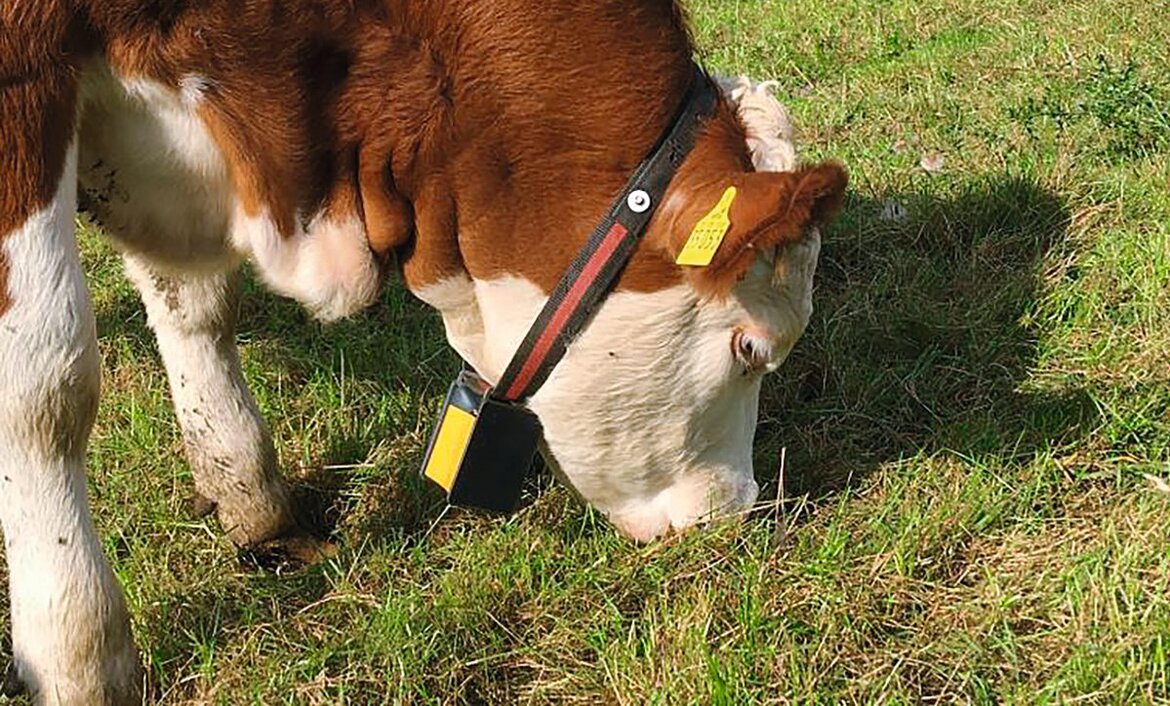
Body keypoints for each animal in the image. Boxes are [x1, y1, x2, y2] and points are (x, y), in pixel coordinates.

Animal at [0, 1, 846, 702]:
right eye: (751, 348)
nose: (733, 515)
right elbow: (46, 383)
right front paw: (77, 656)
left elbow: (194, 305)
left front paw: (252, 501)